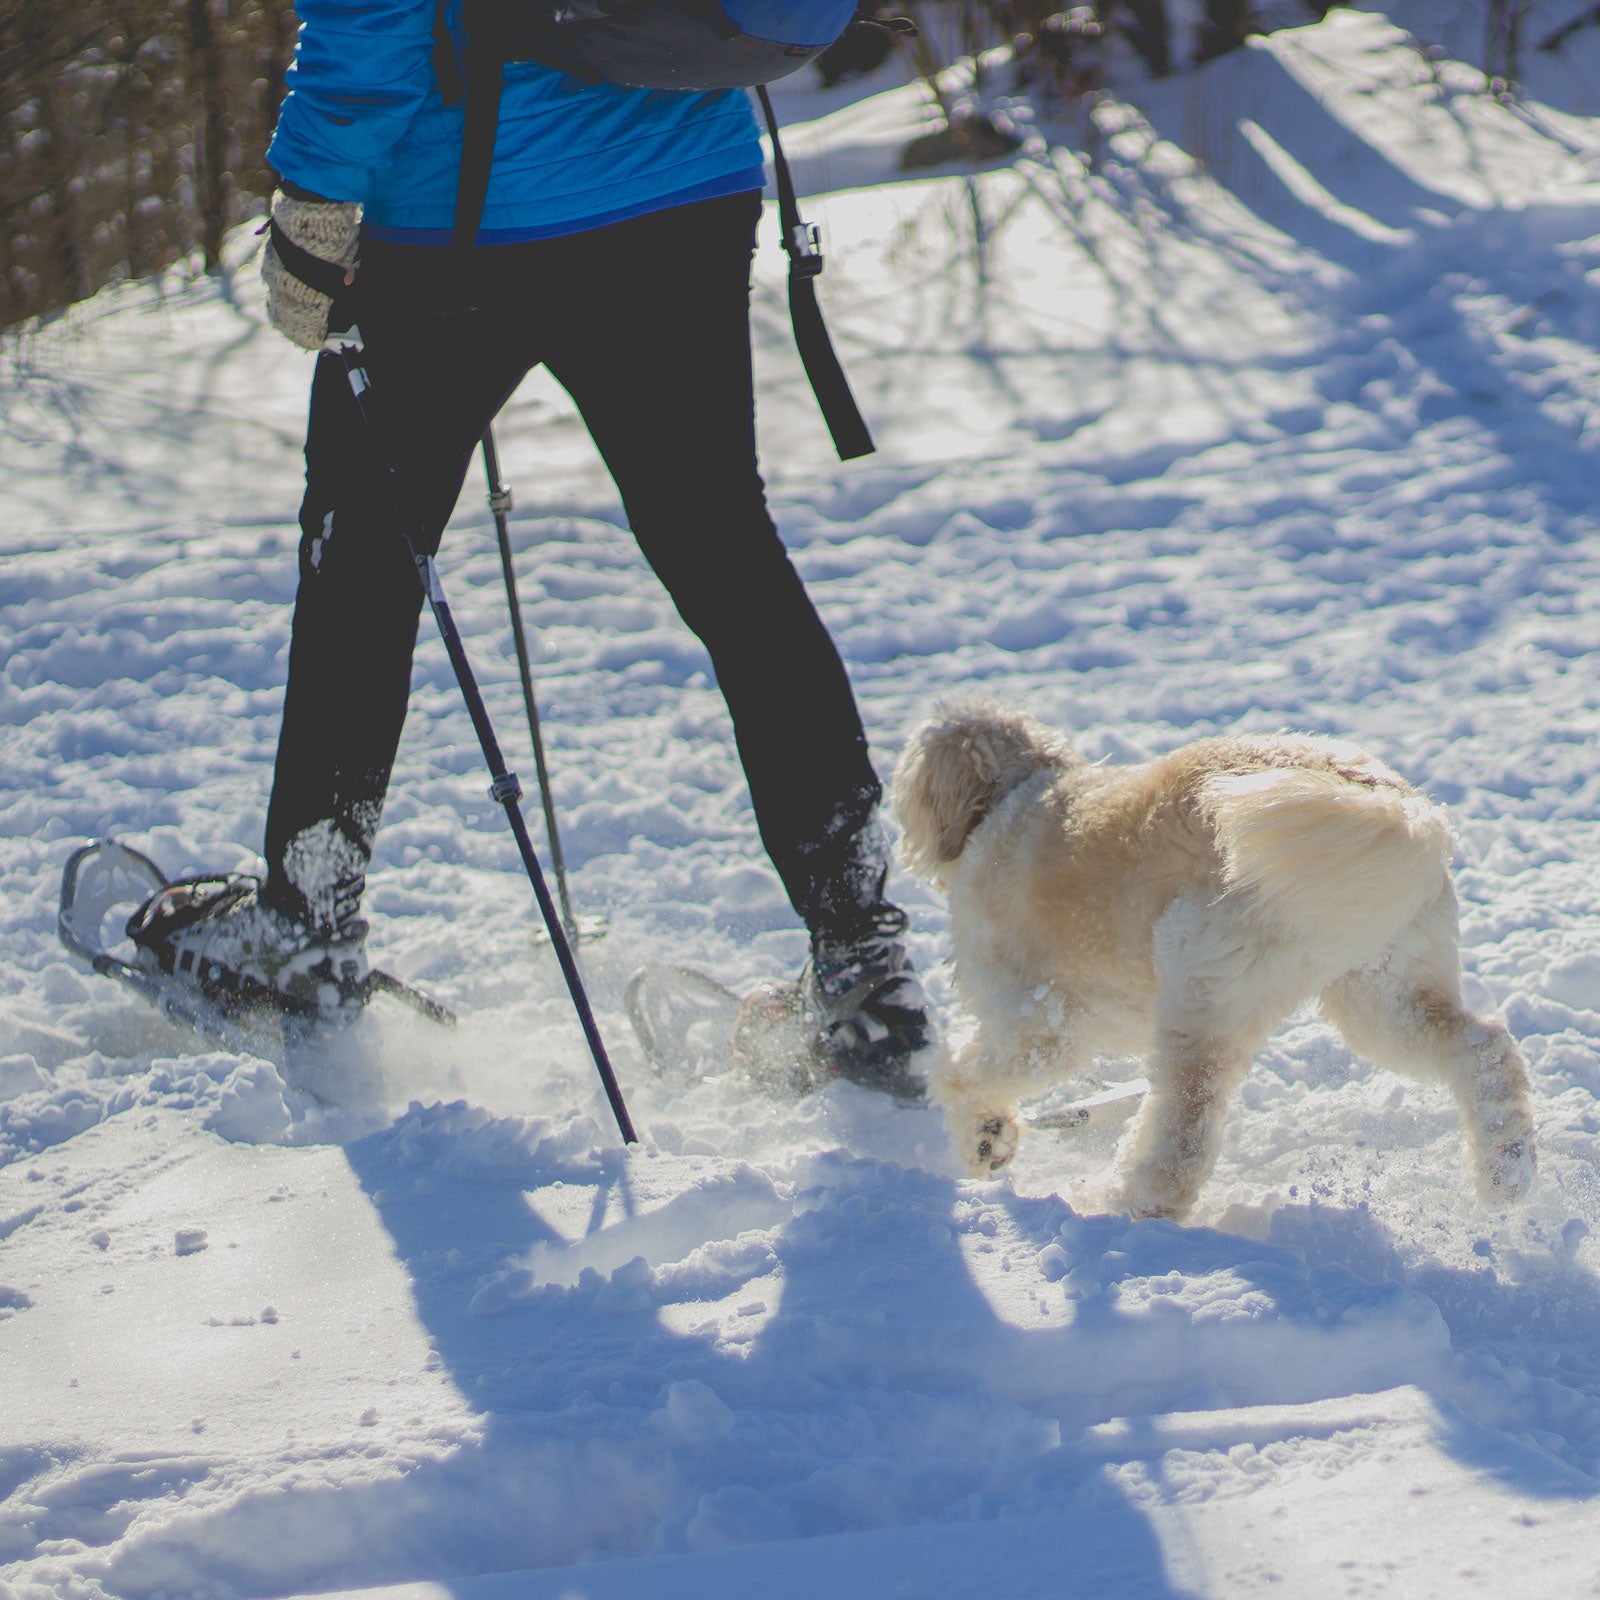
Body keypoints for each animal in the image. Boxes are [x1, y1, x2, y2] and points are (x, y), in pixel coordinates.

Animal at [896, 694, 1529, 1216]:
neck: (1014, 795)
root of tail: (1391, 805)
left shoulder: (1039, 1023)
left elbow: (963, 1077)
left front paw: (983, 1135)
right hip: (1383, 991)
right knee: (1484, 1050)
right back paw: (1507, 1173)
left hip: (1201, 991)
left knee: (1184, 1136)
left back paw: (1124, 1204)